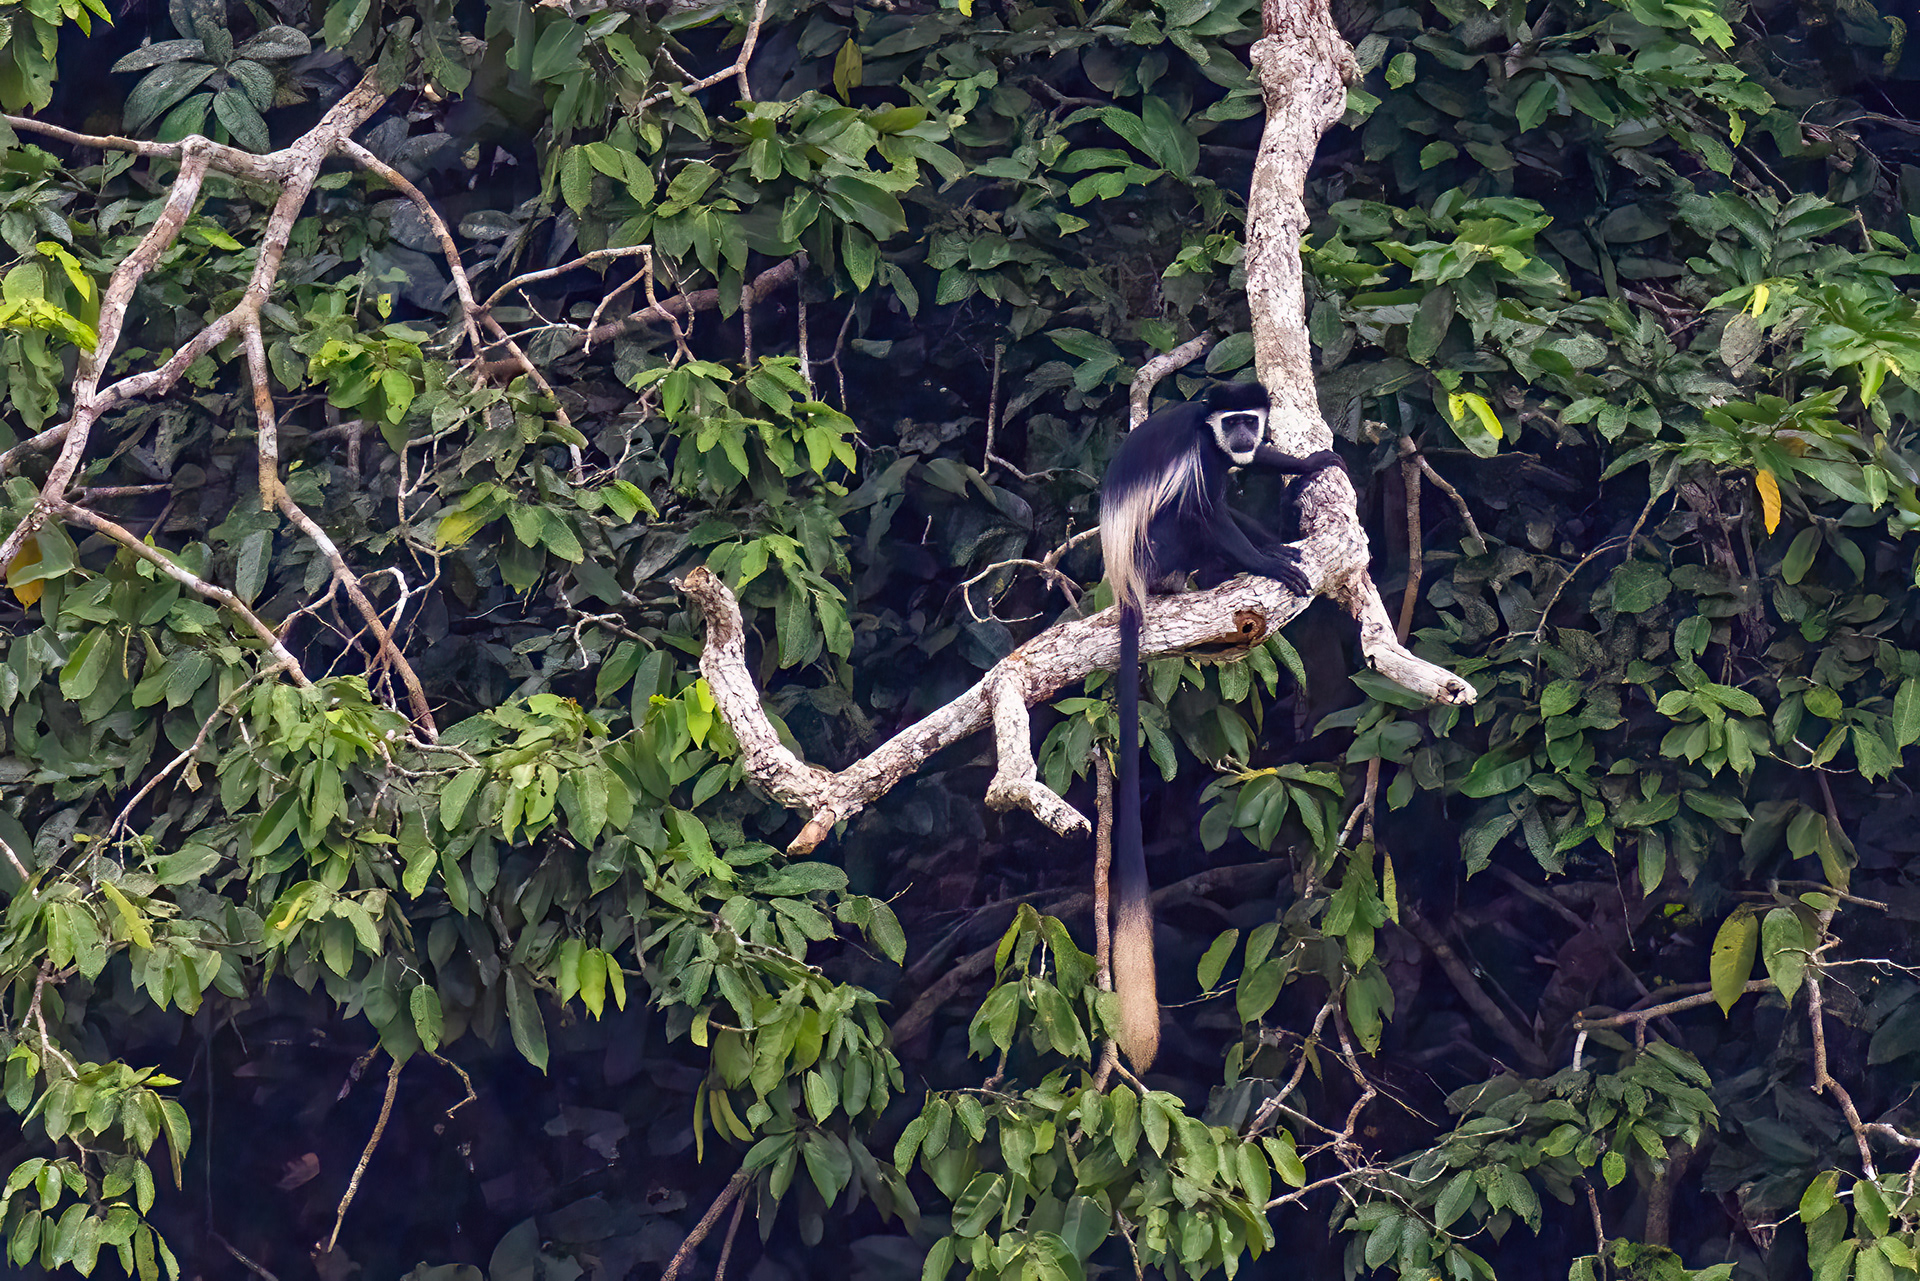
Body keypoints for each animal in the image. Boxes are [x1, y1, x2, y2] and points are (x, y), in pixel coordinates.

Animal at [1098, 381, 1346, 1070]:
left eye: (1249, 421)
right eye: (1230, 420)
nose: (1240, 435)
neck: (1208, 434)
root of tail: (1128, 587)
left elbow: (1253, 470)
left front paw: (1308, 464)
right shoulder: (1199, 460)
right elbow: (1207, 513)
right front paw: (1266, 563)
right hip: (1156, 550)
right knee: (1190, 521)